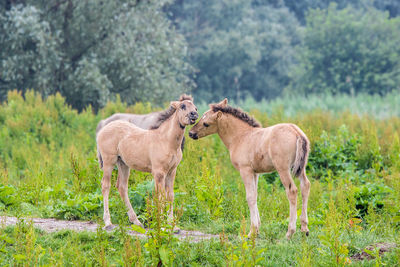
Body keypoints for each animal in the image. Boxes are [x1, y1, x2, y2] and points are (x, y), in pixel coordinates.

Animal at [97, 99, 197, 229]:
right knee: (105, 185)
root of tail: (102, 129)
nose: (194, 115)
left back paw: (136, 221)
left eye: (195, 108)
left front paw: (172, 225)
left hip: (123, 163)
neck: (167, 141)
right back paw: (108, 222)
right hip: (109, 161)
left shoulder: (171, 171)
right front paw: (162, 224)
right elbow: (160, 197)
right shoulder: (159, 172)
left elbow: (170, 195)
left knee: (122, 187)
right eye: (183, 106)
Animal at [189, 99, 310, 239]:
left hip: (283, 168)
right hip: (300, 168)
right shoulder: (255, 172)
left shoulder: (245, 170)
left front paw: (252, 231)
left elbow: (250, 197)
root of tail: (297, 132)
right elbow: (255, 195)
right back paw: (304, 229)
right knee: (305, 186)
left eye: (206, 124)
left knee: (292, 191)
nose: (191, 133)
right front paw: (257, 230)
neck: (240, 136)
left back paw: (290, 232)